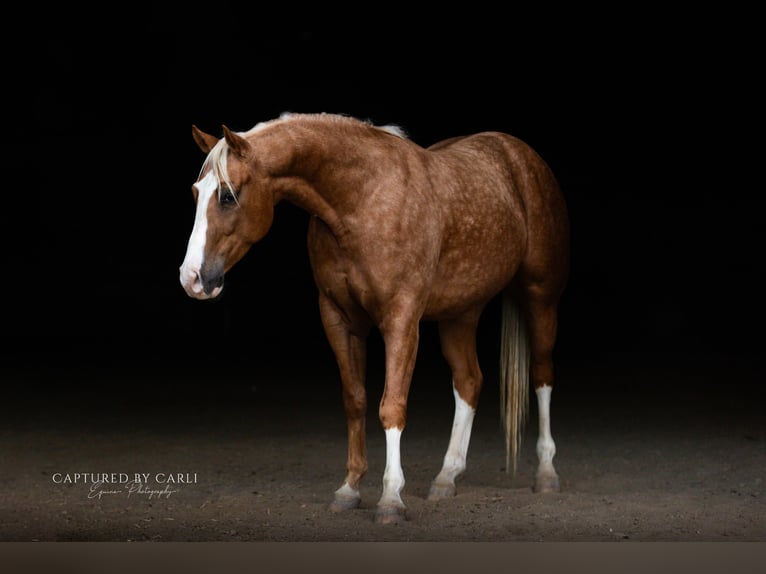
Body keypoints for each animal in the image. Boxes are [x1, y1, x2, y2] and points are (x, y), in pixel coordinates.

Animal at [180, 112, 570, 524]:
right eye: (196, 192)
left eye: (227, 195)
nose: (192, 278)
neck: (361, 200)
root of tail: (518, 153)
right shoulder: (338, 319)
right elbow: (355, 401)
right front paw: (349, 489)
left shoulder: (401, 319)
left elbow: (391, 406)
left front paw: (391, 499)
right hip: (461, 313)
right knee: (469, 382)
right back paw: (447, 476)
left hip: (541, 298)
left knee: (542, 376)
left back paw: (546, 474)